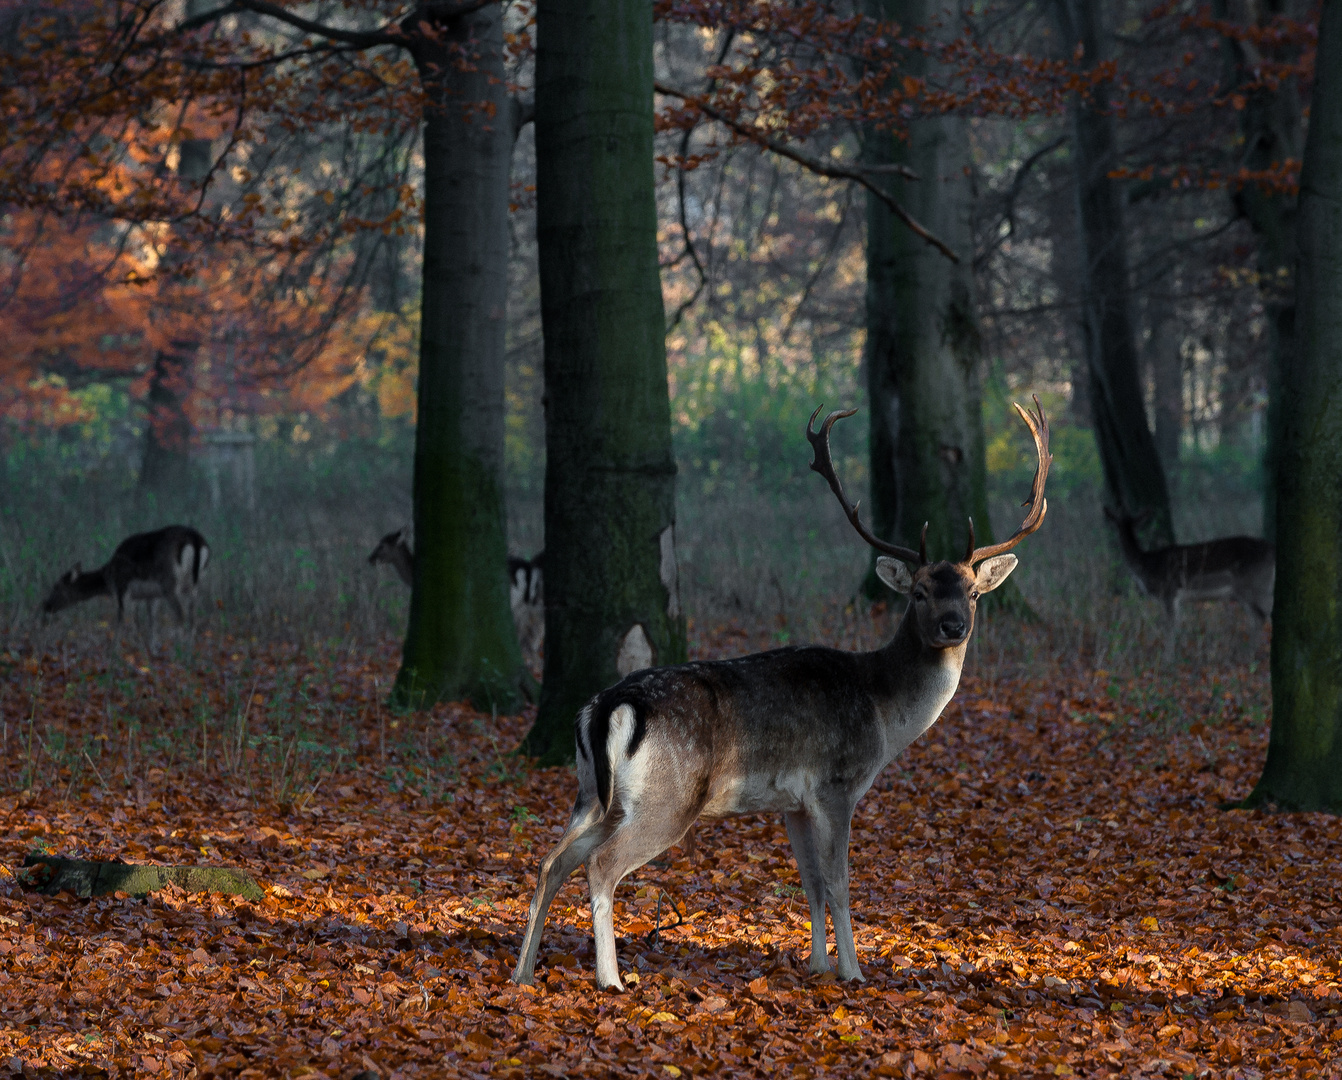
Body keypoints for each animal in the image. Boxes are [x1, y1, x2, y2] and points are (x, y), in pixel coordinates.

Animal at [42, 525, 209, 649]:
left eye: (56, 586)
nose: (46, 605)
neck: (108, 578)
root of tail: (195, 539)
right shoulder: (151, 595)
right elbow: (149, 621)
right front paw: (151, 648)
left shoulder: (122, 586)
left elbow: (122, 619)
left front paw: (115, 647)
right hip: (195, 584)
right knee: (193, 616)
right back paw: (189, 648)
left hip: (169, 582)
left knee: (181, 613)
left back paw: (178, 647)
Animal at [507, 397, 1052, 987]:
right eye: (921, 592)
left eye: (973, 592)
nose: (954, 626)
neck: (884, 712)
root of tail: (608, 706)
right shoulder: (837, 784)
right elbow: (838, 882)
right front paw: (853, 973)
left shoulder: (794, 802)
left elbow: (810, 881)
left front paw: (816, 964)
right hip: (668, 798)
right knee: (600, 864)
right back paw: (610, 979)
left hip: (591, 792)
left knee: (551, 861)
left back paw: (523, 974)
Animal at [1105, 507, 1272, 657]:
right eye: (1119, 524)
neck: (1146, 566)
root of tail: (1272, 550)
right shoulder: (1177, 599)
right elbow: (1177, 624)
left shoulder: (1169, 592)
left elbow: (1169, 627)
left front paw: (1167, 659)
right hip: (1246, 593)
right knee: (1257, 618)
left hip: (1256, 586)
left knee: (1263, 616)